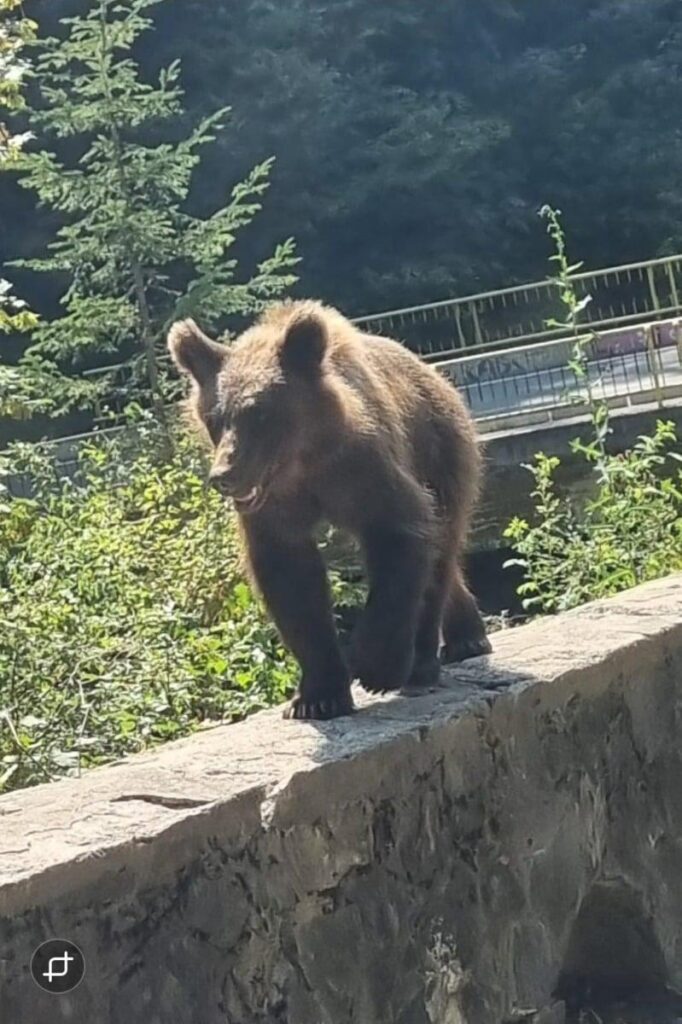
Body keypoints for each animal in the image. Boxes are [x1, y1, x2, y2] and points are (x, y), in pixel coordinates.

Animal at [168, 300, 491, 721]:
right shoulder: (276, 509)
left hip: (441, 449)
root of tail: (433, 373)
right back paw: (463, 636)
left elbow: (400, 533)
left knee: (440, 552)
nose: (224, 474)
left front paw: (375, 666)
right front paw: (318, 696)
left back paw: (431, 659)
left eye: (259, 414)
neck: (304, 463)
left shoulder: (362, 470)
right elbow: (293, 581)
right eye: (214, 418)